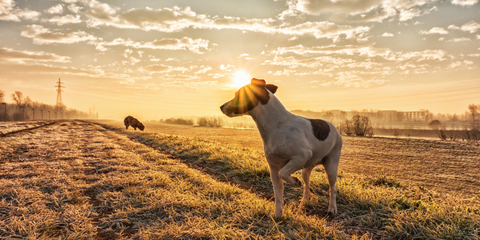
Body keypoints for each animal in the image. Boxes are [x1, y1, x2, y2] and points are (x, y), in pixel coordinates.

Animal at [219, 78, 344, 217]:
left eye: (237, 94)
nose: (221, 107)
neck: (277, 125)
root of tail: (332, 126)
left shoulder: (301, 156)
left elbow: (283, 173)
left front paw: (294, 181)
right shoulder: (274, 170)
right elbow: (278, 195)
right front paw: (278, 215)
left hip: (331, 166)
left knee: (332, 188)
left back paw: (332, 208)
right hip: (306, 169)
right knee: (307, 185)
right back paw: (304, 201)